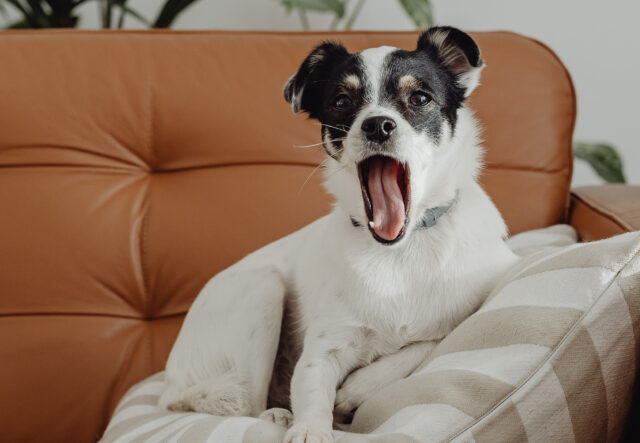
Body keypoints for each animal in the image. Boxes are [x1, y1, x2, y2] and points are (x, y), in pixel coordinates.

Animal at [159, 26, 520, 443]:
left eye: (419, 98)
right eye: (342, 102)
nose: (377, 124)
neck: (399, 249)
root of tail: (167, 386)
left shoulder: (461, 314)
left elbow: (426, 343)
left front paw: (356, 388)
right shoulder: (321, 352)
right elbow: (313, 390)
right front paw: (311, 428)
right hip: (263, 288)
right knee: (245, 402)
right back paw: (275, 414)